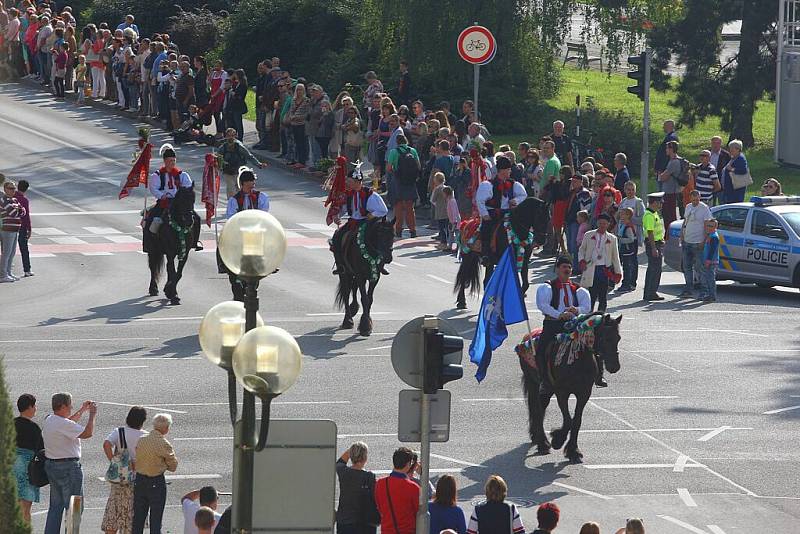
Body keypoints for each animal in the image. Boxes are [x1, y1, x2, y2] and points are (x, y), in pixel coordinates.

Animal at [520, 316, 624, 462]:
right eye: (605, 338)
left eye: (618, 338)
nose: (615, 366)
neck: (578, 362)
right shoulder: (562, 392)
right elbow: (568, 420)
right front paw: (557, 440)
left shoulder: (584, 394)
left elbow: (576, 421)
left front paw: (573, 451)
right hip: (533, 382)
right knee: (537, 410)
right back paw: (543, 444)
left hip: (546, 389)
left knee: (541, 407)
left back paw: (537, 438)